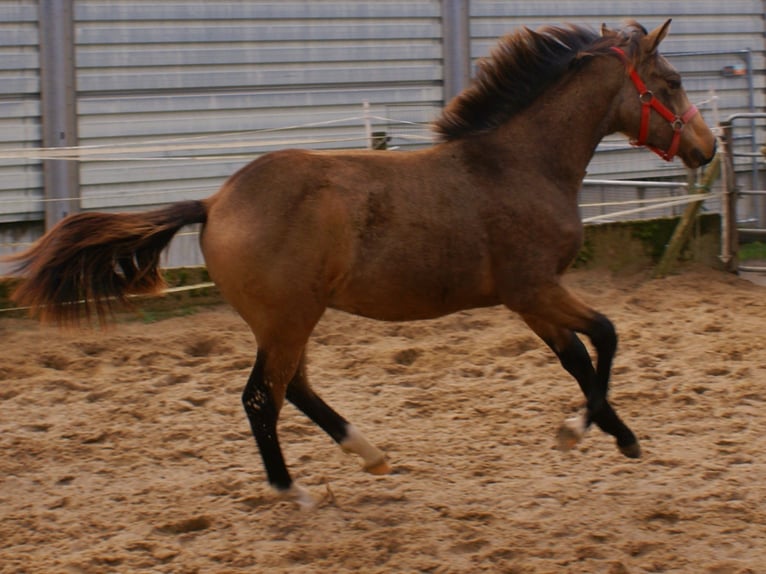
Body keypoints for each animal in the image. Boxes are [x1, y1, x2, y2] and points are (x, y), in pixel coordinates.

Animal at [9, 20, 720, 508]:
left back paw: (371, 454)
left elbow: (577, 357)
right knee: (262, 396)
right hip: (288, 318)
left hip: (290, 319)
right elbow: (605, 336)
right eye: (672, 82)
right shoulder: (534, 288)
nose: (707, 147)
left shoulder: (531, 300)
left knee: (293, 387)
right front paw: (582, 432)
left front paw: (617, 435)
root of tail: (213, 203)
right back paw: (292, 490)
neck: (519, 164)